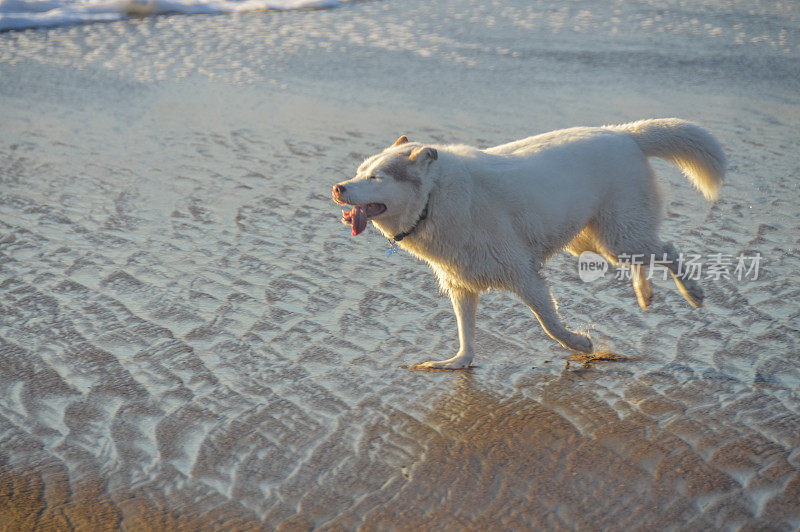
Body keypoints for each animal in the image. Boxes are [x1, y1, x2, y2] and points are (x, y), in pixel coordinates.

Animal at [332, 119, 724, 370]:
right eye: (359, 171)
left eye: (375, 177)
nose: (337, 187)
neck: (434, 197)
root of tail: (623, 134)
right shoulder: (460, 283)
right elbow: (465, 332)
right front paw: (457, 363)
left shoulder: (523, 273)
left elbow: (548, 323)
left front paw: (579, 343)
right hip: (596, 242)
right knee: (642, 256)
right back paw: (644, 293)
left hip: (619, 234)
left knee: (666, 249)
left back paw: (691, 292)